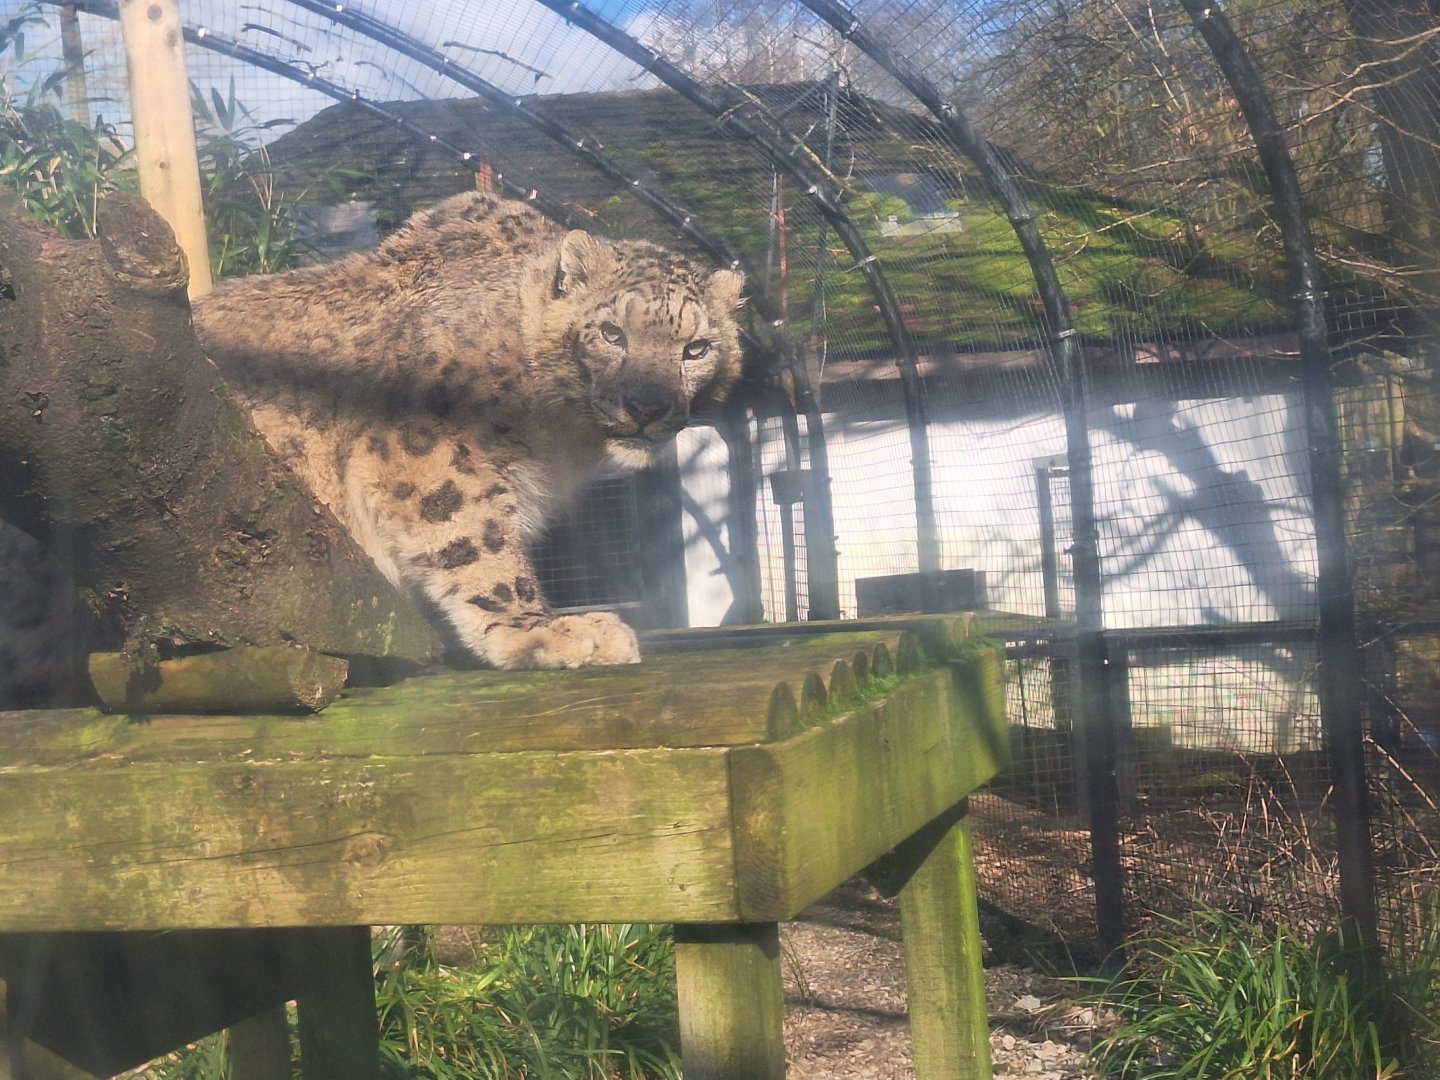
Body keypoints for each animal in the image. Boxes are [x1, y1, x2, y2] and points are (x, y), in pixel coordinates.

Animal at [191, 191, 745, 669]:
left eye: (696, 348)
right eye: (612, 333)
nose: (647, 405)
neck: (560, 439)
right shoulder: (433, 446)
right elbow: (477, 537)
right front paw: (541, 631)